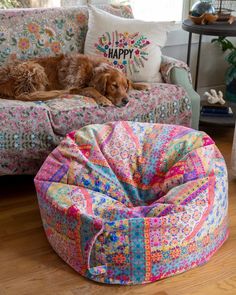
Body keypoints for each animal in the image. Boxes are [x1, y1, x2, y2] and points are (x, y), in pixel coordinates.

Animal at [0, 53, 148, 107]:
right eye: (114, 86)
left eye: (125, 87)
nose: (126, 101)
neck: (91, 70)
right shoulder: (74, 87)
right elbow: (92, 89)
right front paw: (103, 99)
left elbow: (132, 81)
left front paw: (141, 85)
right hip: (34, 67)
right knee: (26, 94)